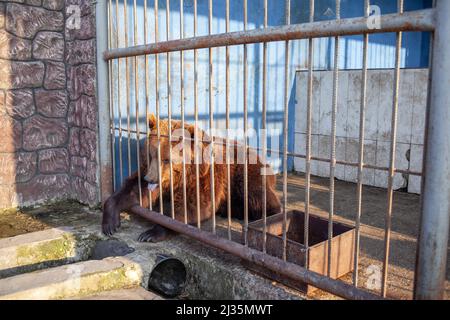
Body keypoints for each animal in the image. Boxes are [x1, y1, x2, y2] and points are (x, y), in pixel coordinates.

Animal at [103, 114, 284, 241]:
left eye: (166, 159)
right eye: (151, 154)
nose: (151, 179)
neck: (180, 176)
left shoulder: (203, 178)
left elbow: (192, 205)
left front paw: (151, 233)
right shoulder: (149, 172)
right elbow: (134, 189)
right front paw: (110, 222)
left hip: (245, 172)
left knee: (257, 195)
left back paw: (269, 219)